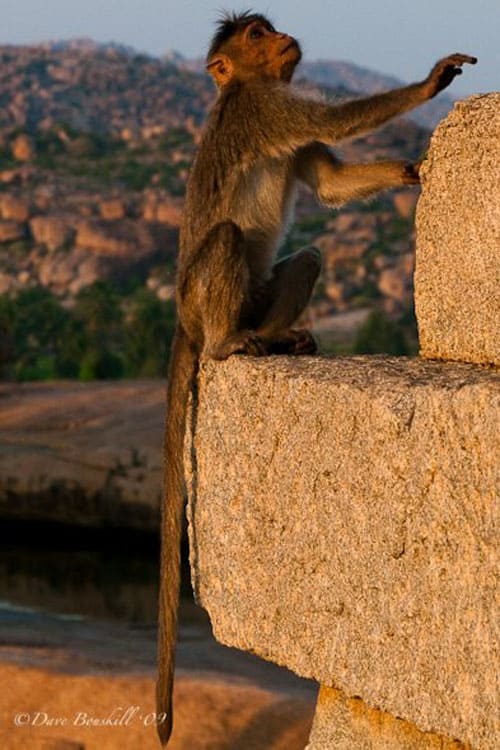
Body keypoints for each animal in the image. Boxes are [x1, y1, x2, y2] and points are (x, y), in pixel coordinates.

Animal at [157, 10, 476, 748]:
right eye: (255, 36)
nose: (284, 39)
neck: (243, 88)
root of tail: (186, 320)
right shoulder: (266, 110)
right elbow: (329, 122)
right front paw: (429, 84)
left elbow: (326, 186)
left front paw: (410, 168)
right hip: (203, 299)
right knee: (226, 239)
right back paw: (229, 345)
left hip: (257, 295)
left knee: (304, 257)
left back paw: (277, 337)